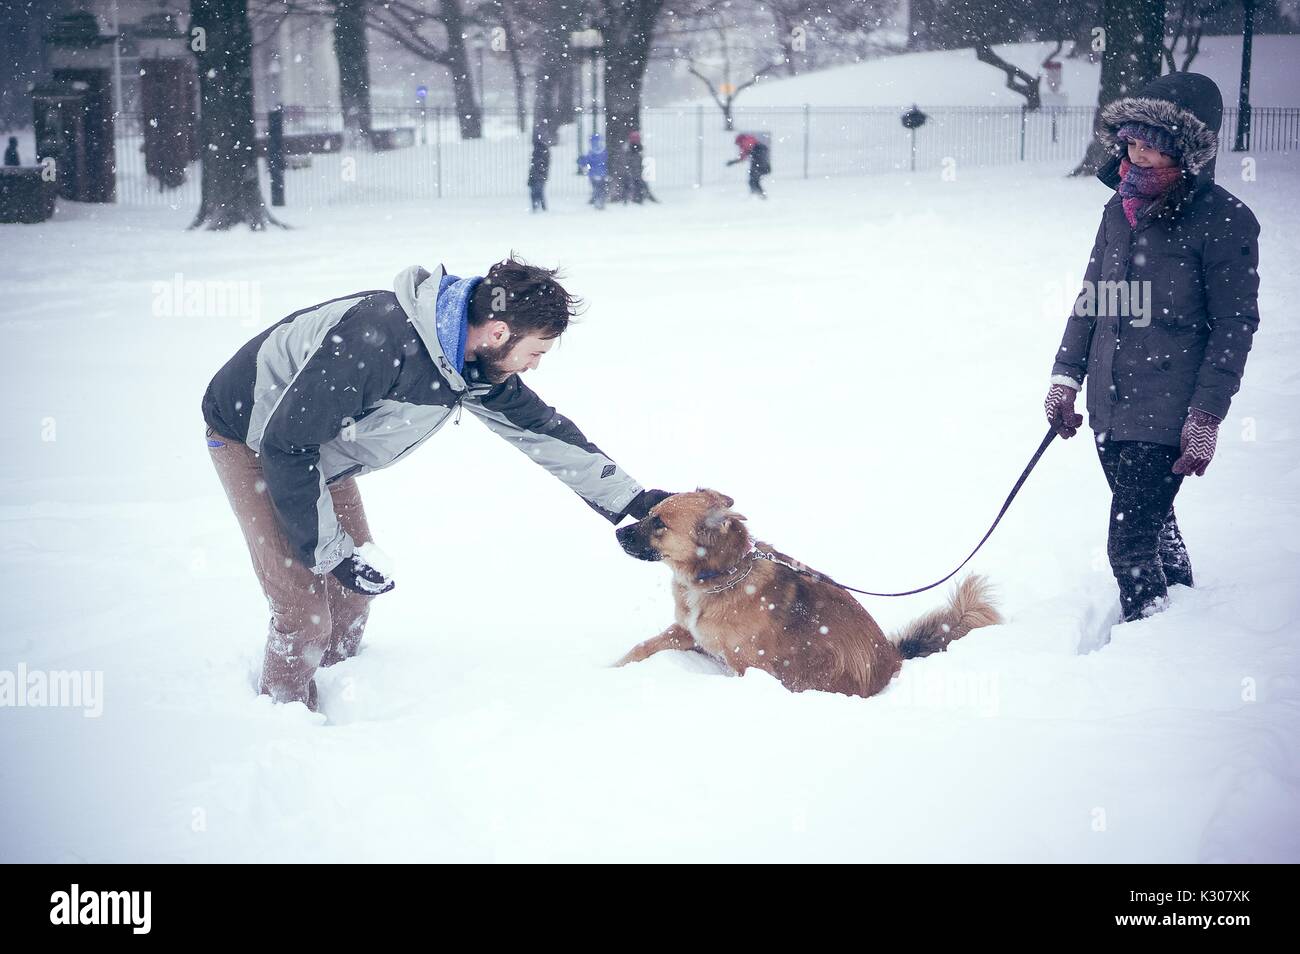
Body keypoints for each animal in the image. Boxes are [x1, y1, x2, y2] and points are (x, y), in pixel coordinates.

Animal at [613, 488, 998, 696]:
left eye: (660, 524)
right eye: (649, 513)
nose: (617, 533)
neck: (725, 576)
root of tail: (893, 660)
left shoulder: (746, 665)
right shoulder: (687, 631)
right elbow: (642, 647)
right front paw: (611, 669)